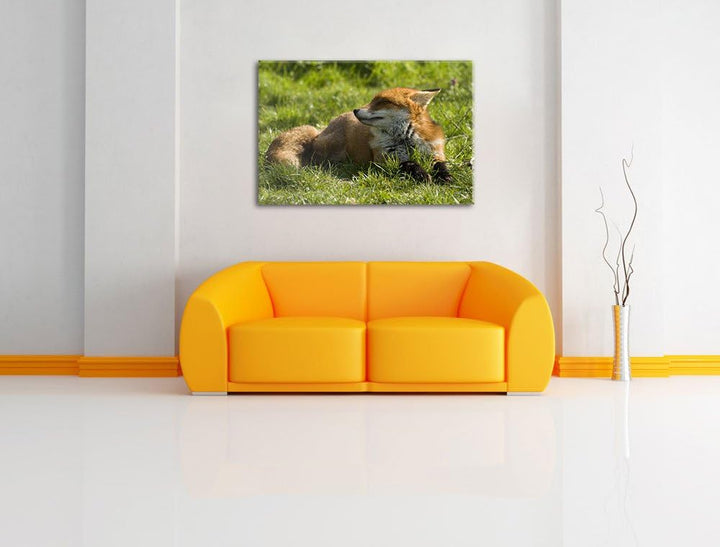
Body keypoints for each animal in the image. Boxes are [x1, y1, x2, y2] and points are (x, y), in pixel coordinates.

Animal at [265, 87, 452, 183]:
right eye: (372, 100)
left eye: (382, 101)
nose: (355, 110)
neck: (405, 140)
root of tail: (323, 129)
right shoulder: (384, 160)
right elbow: (409, 164)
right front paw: (422, 175)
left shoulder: (434, 151)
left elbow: (441, 165)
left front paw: (446, 177)